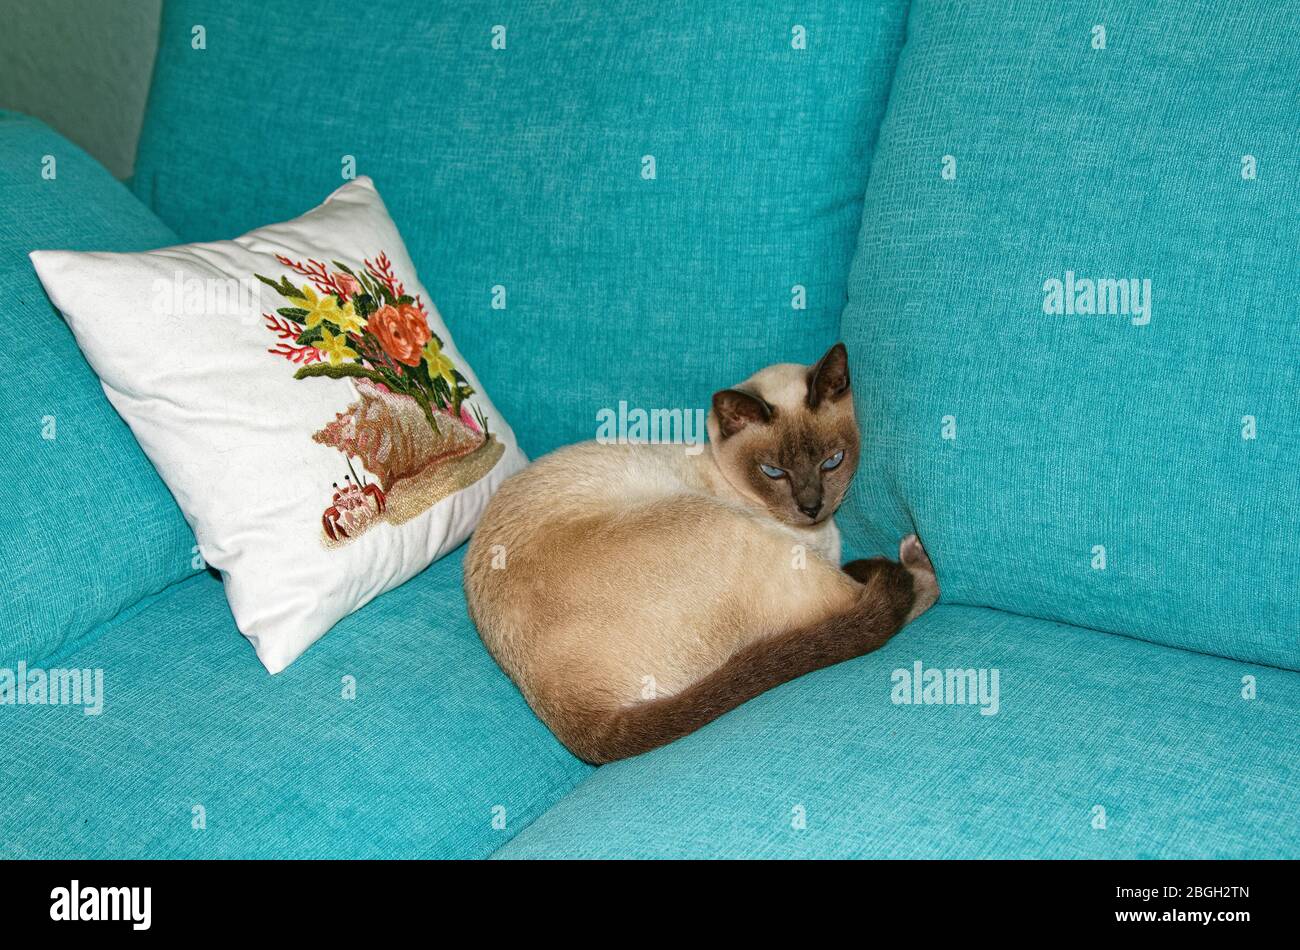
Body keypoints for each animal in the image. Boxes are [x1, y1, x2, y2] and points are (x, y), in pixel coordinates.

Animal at [467, 345, 935, 764]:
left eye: (832, 461)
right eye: (774, 472)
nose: (811, 507)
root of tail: (573, 716)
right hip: (735, 531)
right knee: (884, 601)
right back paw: (918, 557)